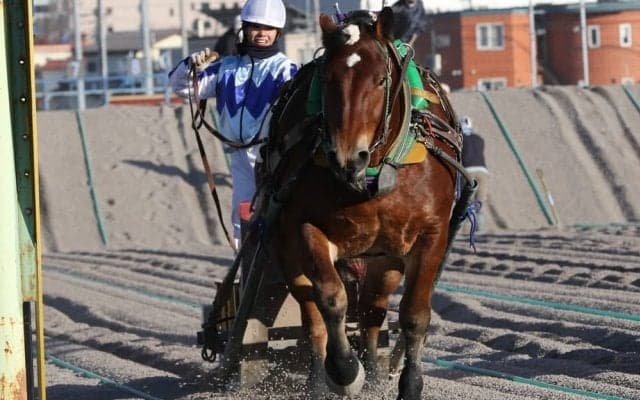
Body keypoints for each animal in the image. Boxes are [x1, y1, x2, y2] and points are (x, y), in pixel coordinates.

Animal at [244, 8, 467, 399]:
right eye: (327, 78)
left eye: (380, 79)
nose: (347, 157)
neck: (372, 175)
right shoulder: (306, 226)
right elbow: (331, 299)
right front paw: (345, 370)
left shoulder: (431, 234)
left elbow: (414, 313)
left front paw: (408, 383)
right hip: (282, 240)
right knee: (312, 311)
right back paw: (318, 380)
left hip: (385, 255)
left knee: (372, 310)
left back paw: (376, 372)